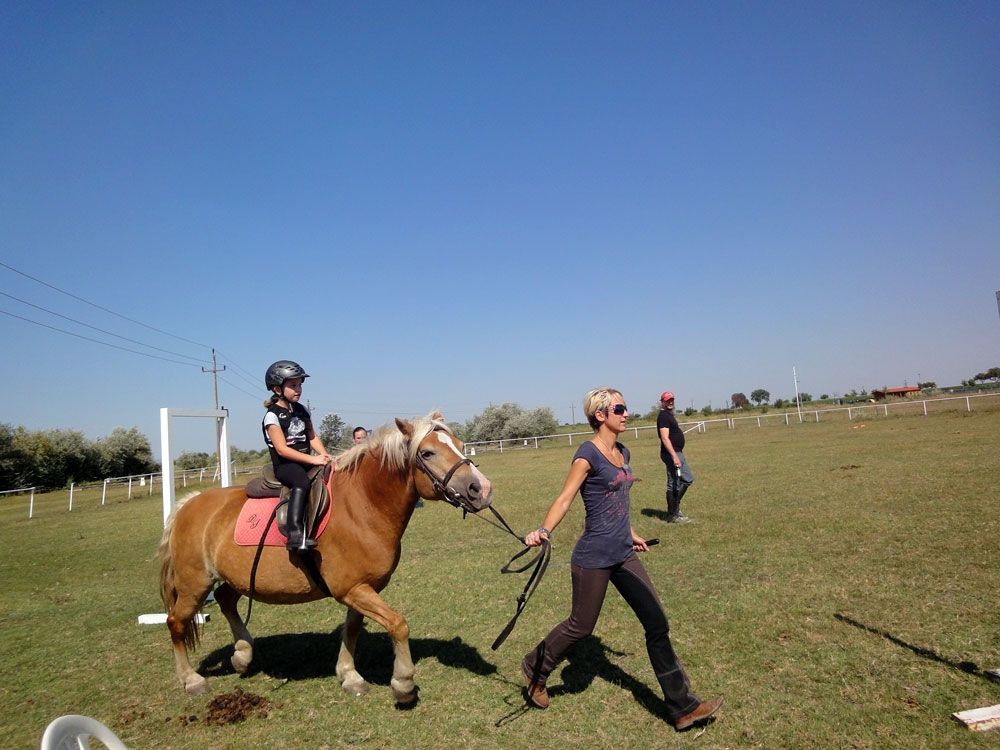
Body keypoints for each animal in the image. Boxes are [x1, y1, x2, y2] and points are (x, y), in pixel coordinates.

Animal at [155, 414, 492, 704]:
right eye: (428, 453)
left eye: (460, 444)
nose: (482, 488)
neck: (362, 505)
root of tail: (187, 505)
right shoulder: (353, 589)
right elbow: (398, 625)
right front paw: (403, 683)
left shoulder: (362, 588)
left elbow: (352, 630)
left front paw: (349, 675)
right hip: (195, 585)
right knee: (176, 623)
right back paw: (192, 680)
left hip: (233, 578)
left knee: (225, 599)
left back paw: (242, 654)